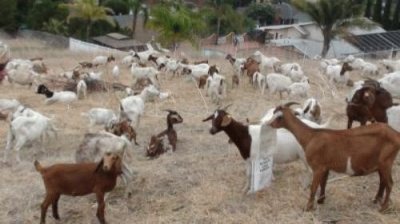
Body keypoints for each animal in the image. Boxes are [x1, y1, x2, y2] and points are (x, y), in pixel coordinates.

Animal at [268, 102, 400, 213]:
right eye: (274, 113)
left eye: (279, 117)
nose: (269, 124)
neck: (311, 136)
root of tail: (396, 134)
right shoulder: (325, 166)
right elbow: (323, 183)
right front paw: (321, 200)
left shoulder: (318, 167)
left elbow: (313, 187)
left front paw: (308, 207)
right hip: (381, 164)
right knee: (383, 181)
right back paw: (376, 200)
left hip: (386, 162)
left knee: (389, 183)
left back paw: (383, 208)